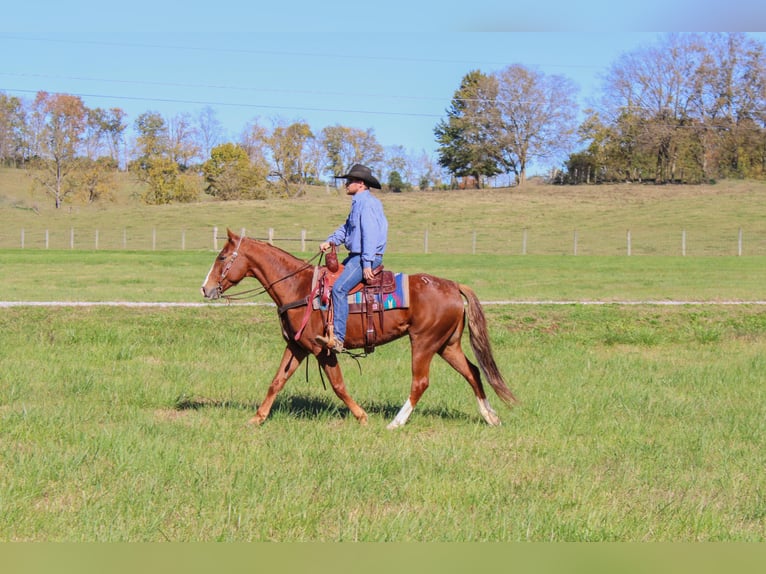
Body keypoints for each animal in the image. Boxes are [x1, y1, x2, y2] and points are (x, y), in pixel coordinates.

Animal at [201, 227, 520, 430]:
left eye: (221, 257)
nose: (205, 288)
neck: (299, 287)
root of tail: (453, 285)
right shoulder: (297, 347)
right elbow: (277, 381)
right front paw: (257, 418)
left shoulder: (322, 350)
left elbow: (338, 385)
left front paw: (362, 416)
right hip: (447, 344)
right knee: (473, 372)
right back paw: (491, 417)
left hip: (424, 343)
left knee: (420, 382)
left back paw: (396, 422)